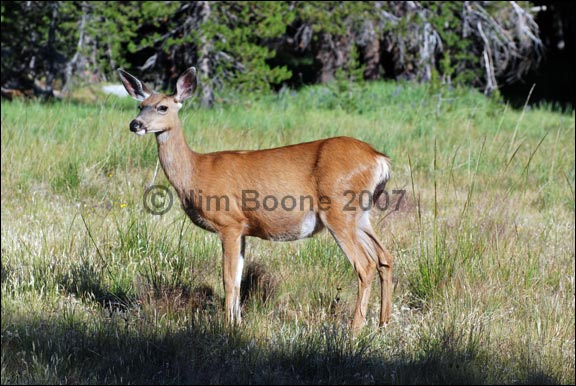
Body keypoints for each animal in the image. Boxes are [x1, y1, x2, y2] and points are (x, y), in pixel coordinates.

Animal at [117, 66, 396, 332]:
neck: (196, 171)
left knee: (365, 265)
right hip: (361, 214)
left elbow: (228, 279)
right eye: (140, 105)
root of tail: (379, 159)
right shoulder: (243, 229)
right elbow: (238, 279)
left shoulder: (229, 222)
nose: (135, 124)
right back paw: (383, 323)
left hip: (338, 210)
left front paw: (226, 326)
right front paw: (238, 323)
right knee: (385, 257)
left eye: (162, 107)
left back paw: (354, 329)